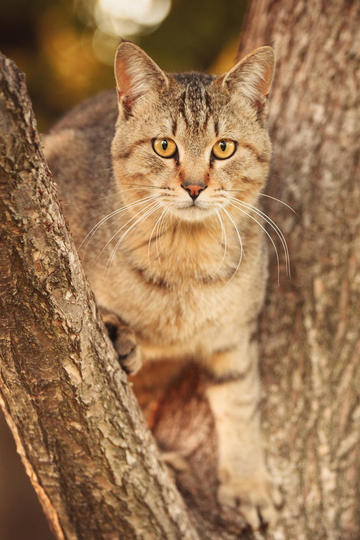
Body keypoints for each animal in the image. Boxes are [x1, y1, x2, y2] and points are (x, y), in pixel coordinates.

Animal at [44, 40, 282, 528]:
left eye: (224, 148)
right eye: (164, 145)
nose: (193, 186)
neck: (186, 262)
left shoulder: (233, 338)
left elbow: (240, 403)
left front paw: (248, 481)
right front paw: (117, 330)